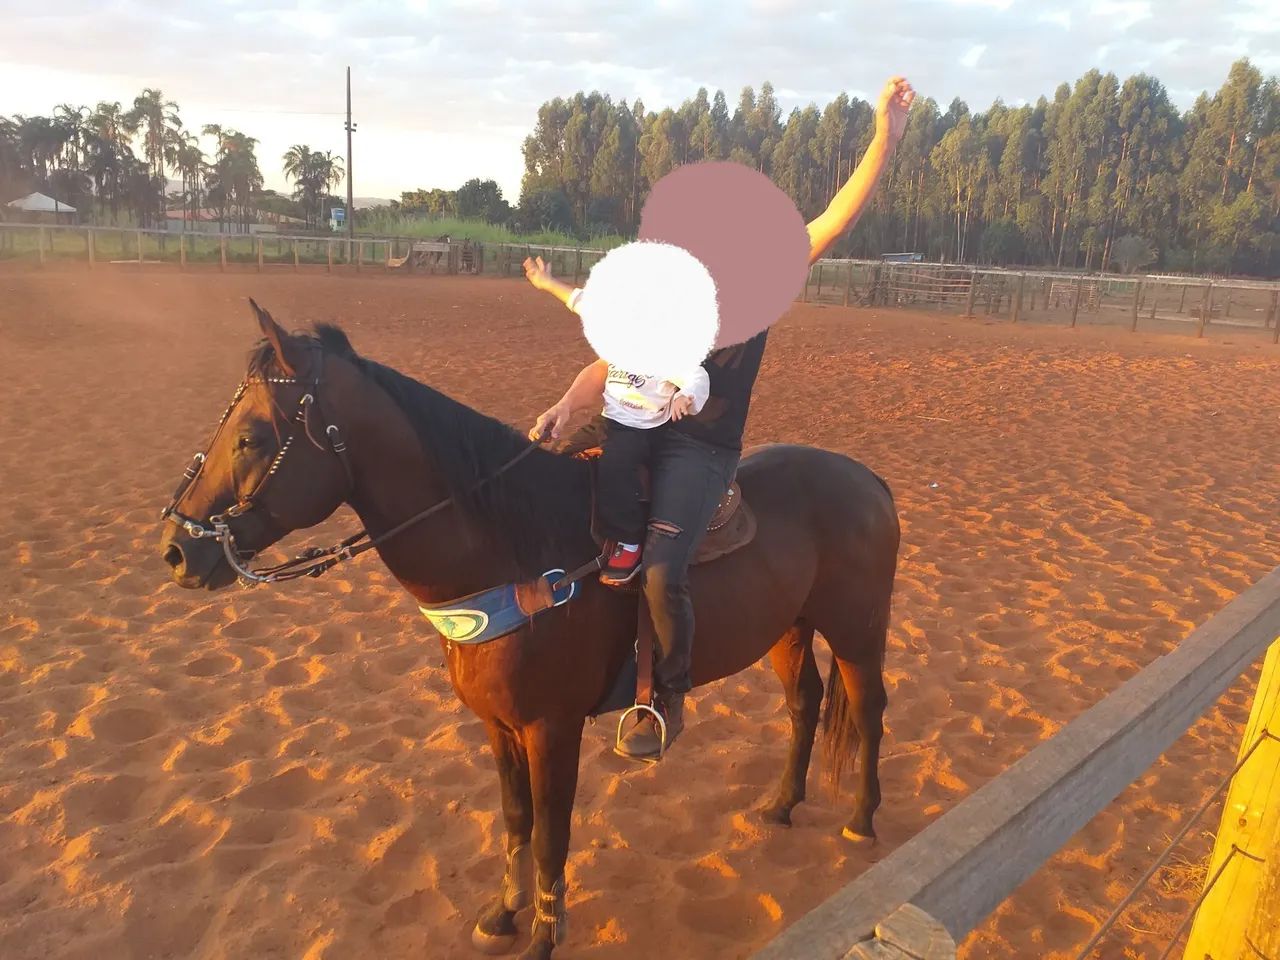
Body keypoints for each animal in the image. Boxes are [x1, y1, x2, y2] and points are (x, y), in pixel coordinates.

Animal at [158, 302, 901, 960]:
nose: (177, 550)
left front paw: (545, 934)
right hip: (790, 630)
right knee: (804, 703)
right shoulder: (500, 725)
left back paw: (861, 820)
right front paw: (504, 916)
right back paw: (782, 805)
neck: (516, 548)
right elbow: (516, 821)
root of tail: (868, 478)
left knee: (867, 708)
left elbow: (550, 832)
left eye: (252, 437)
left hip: (857, 630)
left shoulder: (552, 727)